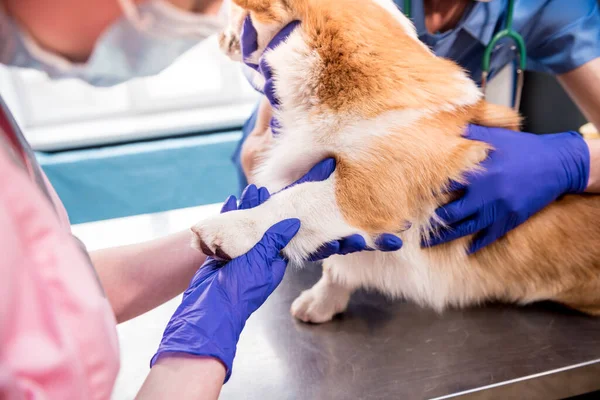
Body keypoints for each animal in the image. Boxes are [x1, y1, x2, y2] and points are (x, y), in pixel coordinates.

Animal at [193, 0, 600, 322]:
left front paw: (228, 229)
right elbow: (334, 264)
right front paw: (321, 304)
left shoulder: (368, 186)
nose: (219, 38)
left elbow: (292, 202)